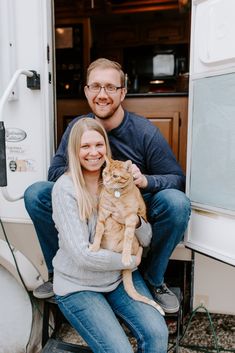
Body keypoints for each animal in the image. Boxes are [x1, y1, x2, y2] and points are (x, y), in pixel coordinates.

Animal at [89, 157, 164, 314]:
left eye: (115, 176)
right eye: (105, 173)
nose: (106, 181)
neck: (115, 194)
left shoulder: (131, 219)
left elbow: (128, 239)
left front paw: (126, 257)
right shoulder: (103, 214)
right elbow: (98, 231)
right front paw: (95, 246)